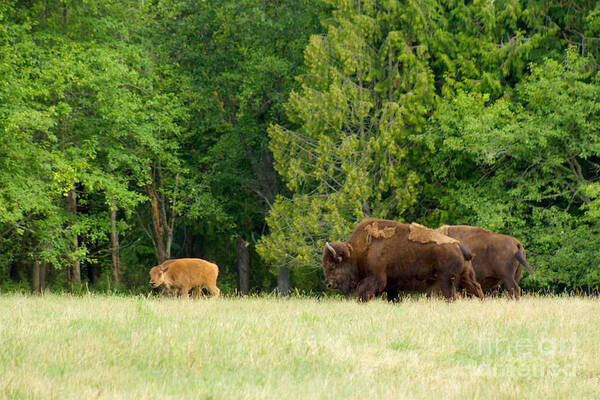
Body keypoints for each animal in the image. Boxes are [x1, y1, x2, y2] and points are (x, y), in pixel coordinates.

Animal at [324, 220, 482, 302]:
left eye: (332, 265)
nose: (330, 284)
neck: (360, 251)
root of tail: (458, 244)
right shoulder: (391, 284)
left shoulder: (377, 278)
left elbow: (364, 292)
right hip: (465, 276)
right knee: (477, 289)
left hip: (447, 280)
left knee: (452, 296)